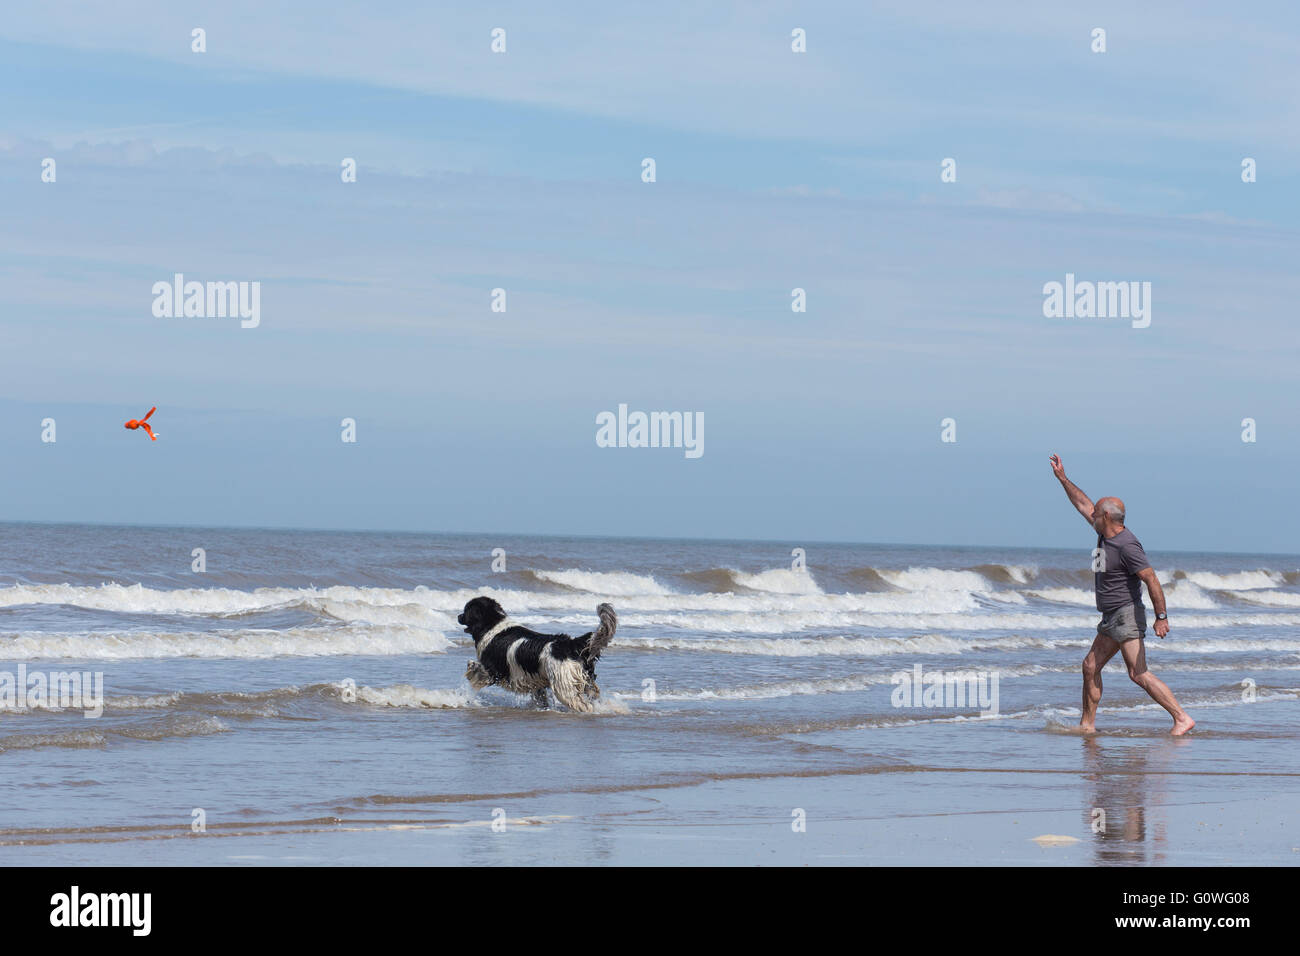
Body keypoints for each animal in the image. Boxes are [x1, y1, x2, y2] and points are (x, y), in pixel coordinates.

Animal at [457, 598, 618, 712]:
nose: (458, 616)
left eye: (466, 611)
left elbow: (476, 669)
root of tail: (571, 644)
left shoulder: (494, 670)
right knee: (593, 695)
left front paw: (470, 672)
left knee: (583, 705)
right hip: (586, 680)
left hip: (563, 684)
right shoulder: (535, 682)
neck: (492, 624)